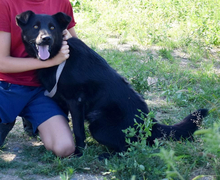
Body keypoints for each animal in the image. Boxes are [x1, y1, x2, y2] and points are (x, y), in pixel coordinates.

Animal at [16, 10, 209, 152]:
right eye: (35, 26)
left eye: (52, 27)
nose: (46, 38)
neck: (60, 59)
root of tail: (150, 123)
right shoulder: (59, 100)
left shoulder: (76, 102)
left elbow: (78, 130)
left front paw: (79, 152)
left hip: (98, 125)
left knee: (130, 148)